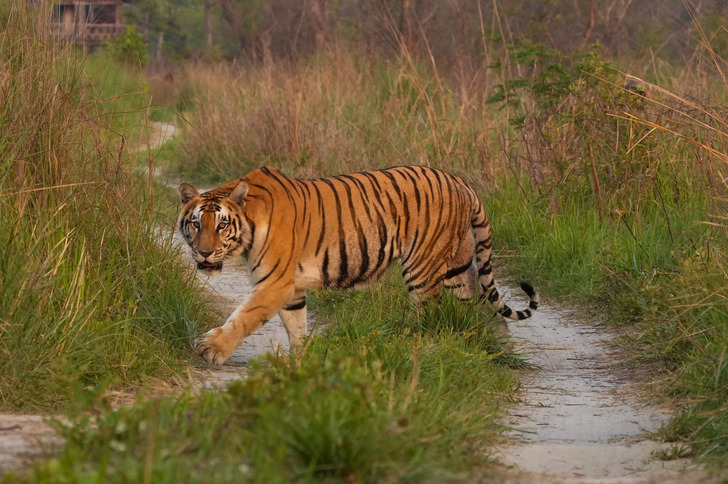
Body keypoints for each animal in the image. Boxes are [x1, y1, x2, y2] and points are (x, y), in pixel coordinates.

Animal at [177, 165, 538, 365]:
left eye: (222, 225)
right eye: (196, 224)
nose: (204, 254)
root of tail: (461, 182)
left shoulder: (274, 283)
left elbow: (243, 317)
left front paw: (211, 349)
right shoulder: (290, 288)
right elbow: (296, 326)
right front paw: (300, 362)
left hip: (423, 267)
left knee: (429, 314)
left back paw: (415, 348)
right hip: (458, 266)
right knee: (484, 305)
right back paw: (501, 353)